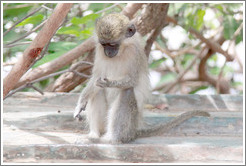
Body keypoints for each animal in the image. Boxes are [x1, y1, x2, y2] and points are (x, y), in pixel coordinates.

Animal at [73, 13, 209, 143]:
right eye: (104, 44)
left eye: (113, 44)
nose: (108, 52)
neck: (122, 50)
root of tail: (135, 131)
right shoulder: (99, 50)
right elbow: (95, 78)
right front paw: (81, 103)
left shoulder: (134, 53)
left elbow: (132, 81)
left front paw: (108, 83)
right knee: (97, 91)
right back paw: (94, 135)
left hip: (129, 125)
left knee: (127, 91)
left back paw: (111, 139)